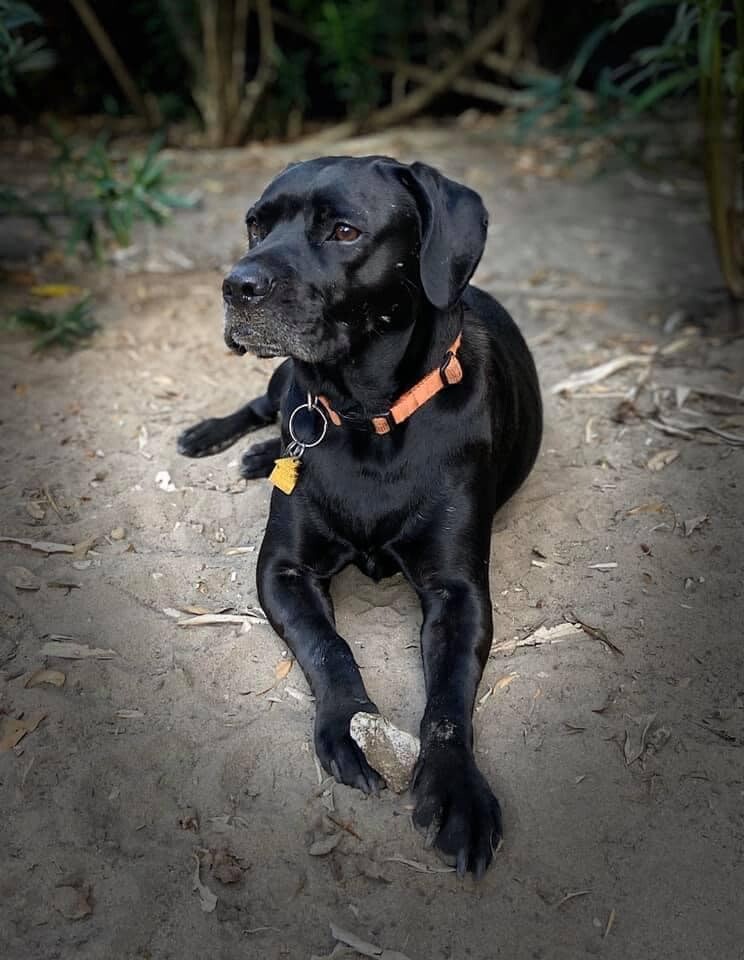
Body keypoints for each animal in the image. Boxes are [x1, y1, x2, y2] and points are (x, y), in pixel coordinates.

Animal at [180, 158, 540, 876]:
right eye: (256, 224)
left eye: (344, 231)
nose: (236, 285)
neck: (364, 412)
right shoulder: (283, 569)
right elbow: (330, 646)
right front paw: (349, 725)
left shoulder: (459, 591)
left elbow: (449, 701)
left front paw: (457, 789)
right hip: (275, 383)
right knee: (262, 402)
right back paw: (226, 440)